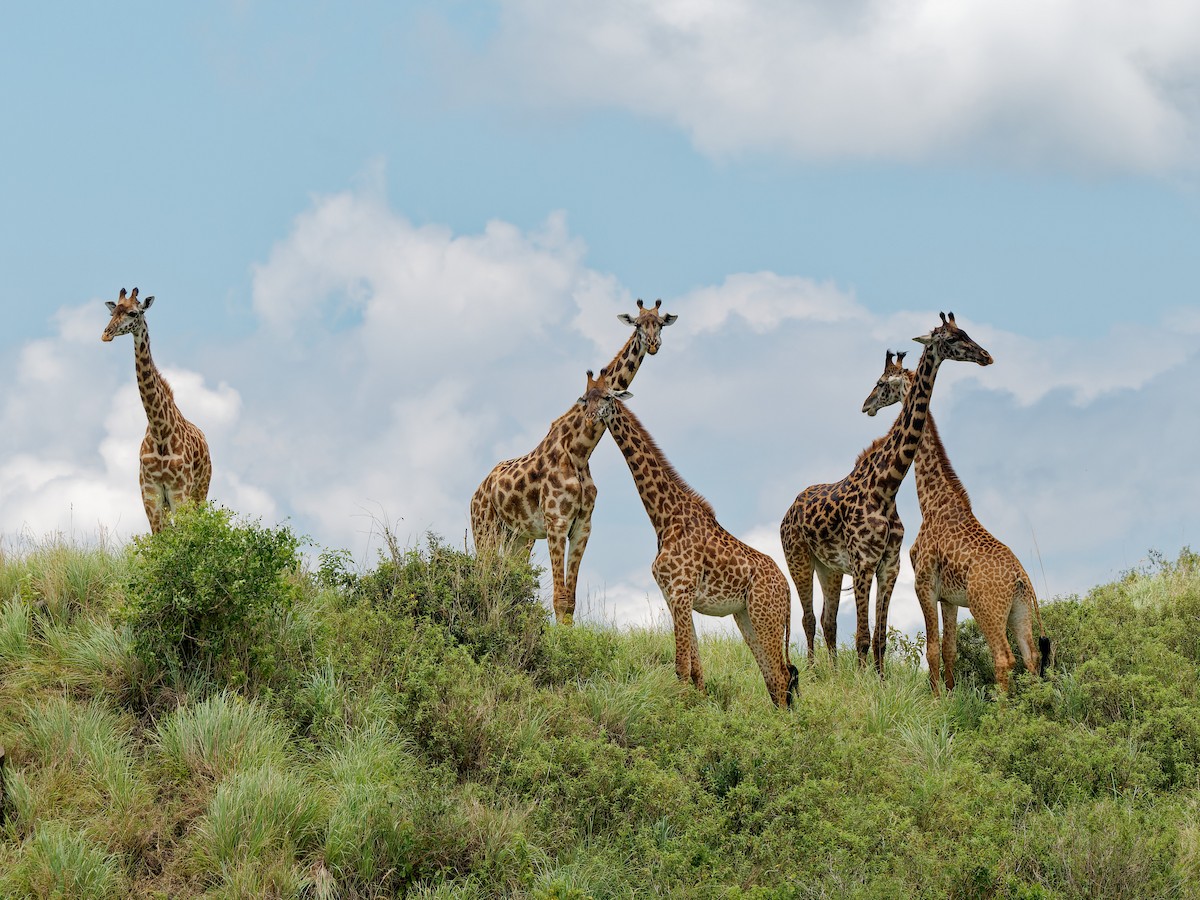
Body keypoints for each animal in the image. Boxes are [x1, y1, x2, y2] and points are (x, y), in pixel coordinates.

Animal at [101, 287, 212, 533]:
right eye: (113, 312)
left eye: (133, 313)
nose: (106, 334)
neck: (160, 430)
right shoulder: (150, 493)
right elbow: (160, 537)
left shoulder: (179, 492)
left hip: (200, 491)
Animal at [471, 300, 677, 625]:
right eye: (637, 324)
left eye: (659, 323)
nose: (654, 344)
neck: (580, 451)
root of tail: (477, 491)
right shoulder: (556, 522)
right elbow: (559, 598)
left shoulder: (582, 526)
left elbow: (570, 600)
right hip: (485, 529)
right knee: (483, 574)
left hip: (519, 537)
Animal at [587, 375, 799, 707]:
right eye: (585, 398)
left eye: (608, 397)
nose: (590, 416)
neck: (663, 517)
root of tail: (787, 589)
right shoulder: (672, 596)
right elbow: (696, 668)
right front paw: (700, 707)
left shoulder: (681, 593)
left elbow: (681, 667)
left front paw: (684, 711)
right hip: (746, 615)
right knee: (775, 677)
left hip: (765, 614)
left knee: (780, 675)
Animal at [780, 312, 993, 675]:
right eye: (951, 339)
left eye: (965, 333)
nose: (986, 356)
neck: (886, 488)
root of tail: (789, 509)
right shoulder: (863, 563)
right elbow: (863, 637)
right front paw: (862, 683)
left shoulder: (889, 566)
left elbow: (879, 638)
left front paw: (877, 682)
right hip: (798, 556)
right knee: (808, 618)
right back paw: (812, 671)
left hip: (829, 568)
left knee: (827, 620)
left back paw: (833, 673)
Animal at [862, 349, 1050, 693]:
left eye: (881, 382)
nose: (866, 404)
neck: (931, 502)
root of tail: (1020, 578)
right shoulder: (949, 597)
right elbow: (950, 648)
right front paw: (951, 696)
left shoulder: (924, 584)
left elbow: (932, 649)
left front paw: (936, 699)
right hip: (1020, 611)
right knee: (1030, 657)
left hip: (985, 608)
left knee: (1004, 658)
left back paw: (1002, 707)